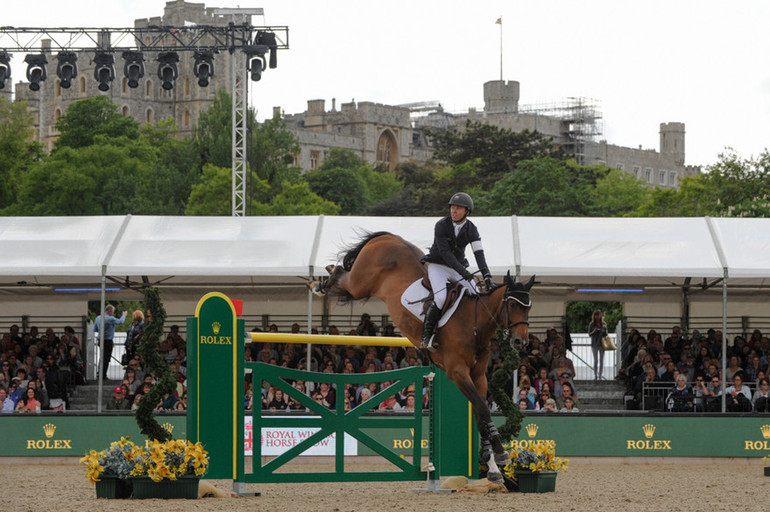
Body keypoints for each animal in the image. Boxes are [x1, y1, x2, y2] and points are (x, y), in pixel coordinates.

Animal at [308, 230, 532, 482]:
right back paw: (320, 283)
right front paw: (501, 453)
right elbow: (483, 411)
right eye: (512, 306)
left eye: (528, 308)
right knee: (342, 274)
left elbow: (480, 415)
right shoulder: (457, 373)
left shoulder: (478, 376)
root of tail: (388, 237)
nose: (521, 342)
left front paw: (492, 467)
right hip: (360, 283)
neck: (474, 324)